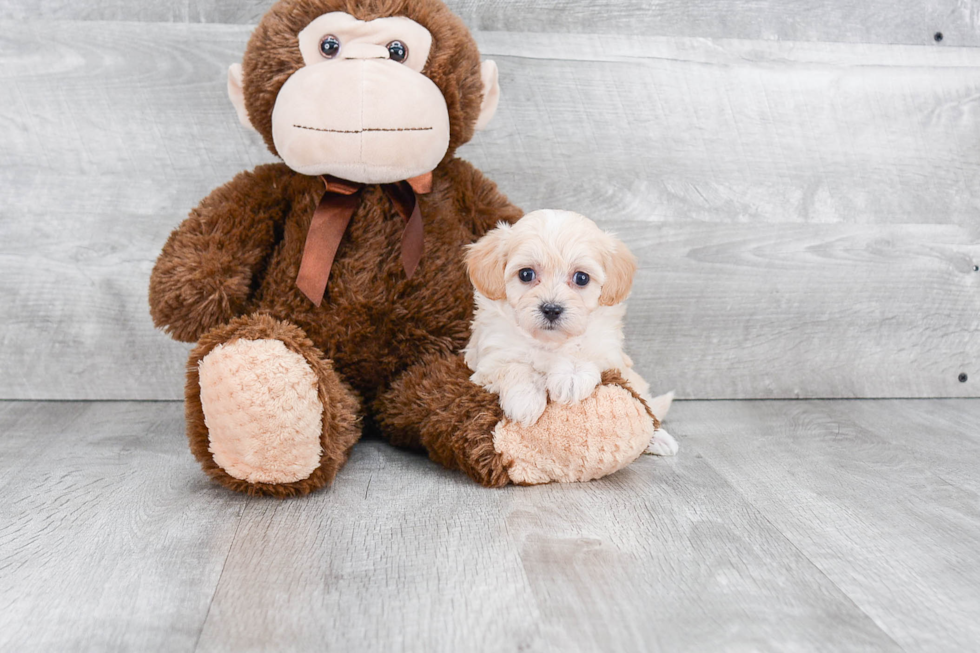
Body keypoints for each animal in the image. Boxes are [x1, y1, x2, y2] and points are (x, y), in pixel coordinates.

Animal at [464, 209, 676, 454]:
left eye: (581, 278)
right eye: (526, 274)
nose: (551, 309)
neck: (550, 342)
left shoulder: (609, 350)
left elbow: (584, 348)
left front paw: (571, 377)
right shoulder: (488, 358)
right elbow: (514, 367)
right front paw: (524, 399)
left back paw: (659, 438)